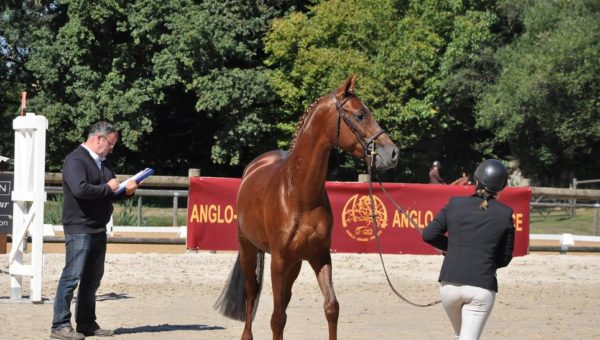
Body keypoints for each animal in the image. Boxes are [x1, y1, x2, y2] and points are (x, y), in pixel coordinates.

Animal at [216, 75, 398, 340]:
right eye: (360, 115)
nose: (393, 153)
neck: (298, 194)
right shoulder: (279, 260)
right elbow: (277, 319)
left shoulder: (319, 255)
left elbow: (331, 307)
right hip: (249, 248)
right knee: (252, 290)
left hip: (295, 263)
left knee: (284, 298)